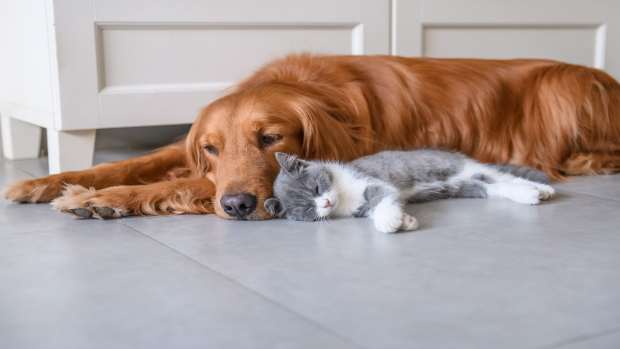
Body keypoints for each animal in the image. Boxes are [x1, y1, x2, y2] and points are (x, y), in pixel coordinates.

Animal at [3, 53, 620, 218]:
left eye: (272, 138)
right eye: (211, 146)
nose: (239, 207)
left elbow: (187, 185)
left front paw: (103, 200)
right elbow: (130, 163)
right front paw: (53, 182)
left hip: (565, 85)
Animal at [264, 149, 556, 232]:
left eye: (316, 187)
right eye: (307, 211)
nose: (324, 204)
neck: (343, 196)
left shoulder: (370, 181)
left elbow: (383, 198)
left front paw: (390, 221)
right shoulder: (361, 208)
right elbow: (377, 207)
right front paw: (405, 220)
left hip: (458, 168)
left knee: (503, 175)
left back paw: (541, 189)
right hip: (468, 185)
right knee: (496, 185)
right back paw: (531, 193)